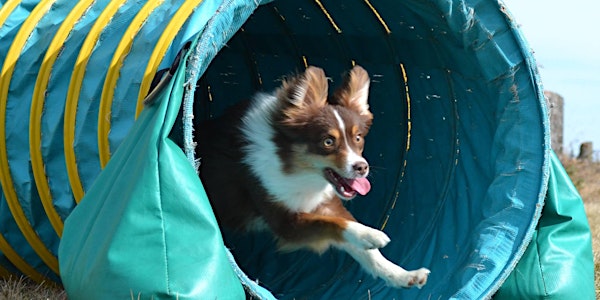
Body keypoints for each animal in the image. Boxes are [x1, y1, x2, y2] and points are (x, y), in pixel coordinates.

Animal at [197, 65, 432, 288]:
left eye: (357, 138)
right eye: (328, 141)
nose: (362, 167)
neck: (297, 170)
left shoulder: (325, 204)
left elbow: (364, 249)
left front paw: (403, 275)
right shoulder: (285, 221)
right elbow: (331, 225)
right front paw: (370, 235)